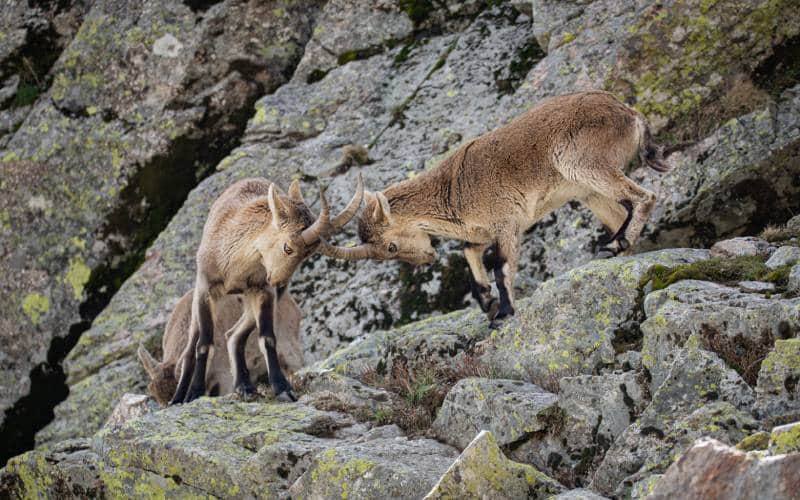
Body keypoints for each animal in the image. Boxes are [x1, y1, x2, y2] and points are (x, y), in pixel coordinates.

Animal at [171, 175, 363, 404]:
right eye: (288, 247)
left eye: (308, 254)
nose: (279, 282)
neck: (235, 264)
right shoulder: (206, 289)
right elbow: (204, 344)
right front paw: (195, 393)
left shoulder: (263, 291)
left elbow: (268, 338)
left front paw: (283, 389)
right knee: (191, 348)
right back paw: (178, 397)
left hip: (253, 298)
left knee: (234, 335)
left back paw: (244, 386)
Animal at [320, 91, 668, 323]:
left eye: (390, 247)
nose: (428, 258)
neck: (452, 191)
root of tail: (629, 113)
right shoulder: (482, 231)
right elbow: (470, 252)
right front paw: (485, 300)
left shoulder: (507, 221)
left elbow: (501, 266)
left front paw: (503, 312)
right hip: (587, 191)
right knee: (621, 212)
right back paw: (617, 248)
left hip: (584, 164)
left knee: (644, 197)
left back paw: (616, 243)